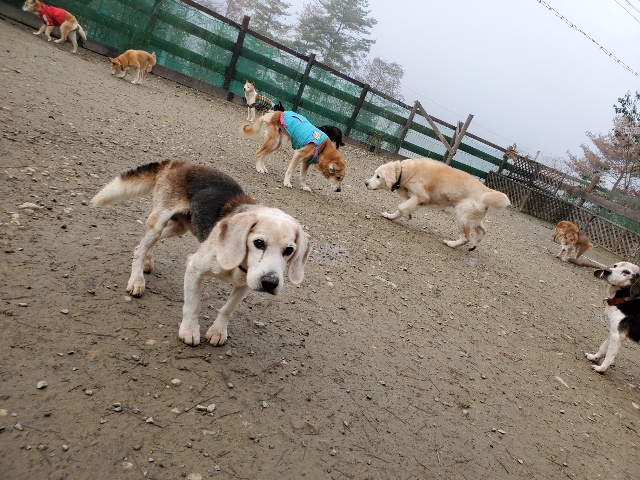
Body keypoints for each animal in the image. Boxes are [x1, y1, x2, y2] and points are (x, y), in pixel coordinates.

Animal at [91, 159, 311, 347]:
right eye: (258, 243)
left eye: (289, 250)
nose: (270, 283)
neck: (239, 264)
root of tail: (178, 162)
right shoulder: (194, 269)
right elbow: (193, 305)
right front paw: (189, 330)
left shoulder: (244, 284)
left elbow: (228, 309)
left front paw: (218, 331)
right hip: (159, 221)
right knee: (142, 247)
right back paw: (137, 279)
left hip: (177, 227)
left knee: (142, 245)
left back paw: (147, 261)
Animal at [365, 158, 511, 250]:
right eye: (374, 174)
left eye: (378, 176)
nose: (366, 183)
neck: (404, 172)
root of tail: (487, 192)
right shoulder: (414, 199)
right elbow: (400, 209)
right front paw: (390, 216)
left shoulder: (420, 197)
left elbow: (401, 207)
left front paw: (407, 216)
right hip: (472, 218)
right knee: (482, 231)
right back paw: (473, 245)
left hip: (462, 215)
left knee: (466, 237)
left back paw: (451, 244)